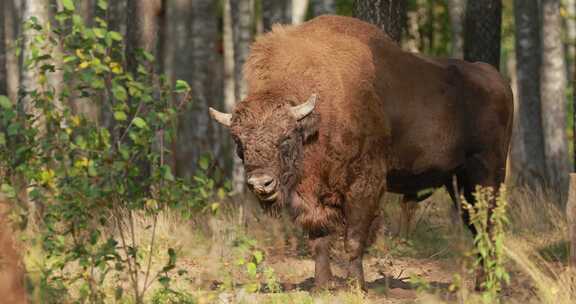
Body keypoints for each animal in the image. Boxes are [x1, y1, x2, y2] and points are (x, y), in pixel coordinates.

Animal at [210, 14, 512, 290]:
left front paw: (357, 286)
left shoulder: (364, 185)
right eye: (239, 142)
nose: (260, 184)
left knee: (488, 226)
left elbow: (353, 239)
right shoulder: (312, 197)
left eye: (285, 138)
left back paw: (489, 285)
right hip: (457, 183)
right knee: (477, 229)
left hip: (487, 175)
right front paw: (322, 286)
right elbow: (319, 239)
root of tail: (498, 80)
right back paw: (481, 284)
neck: (315, 121)